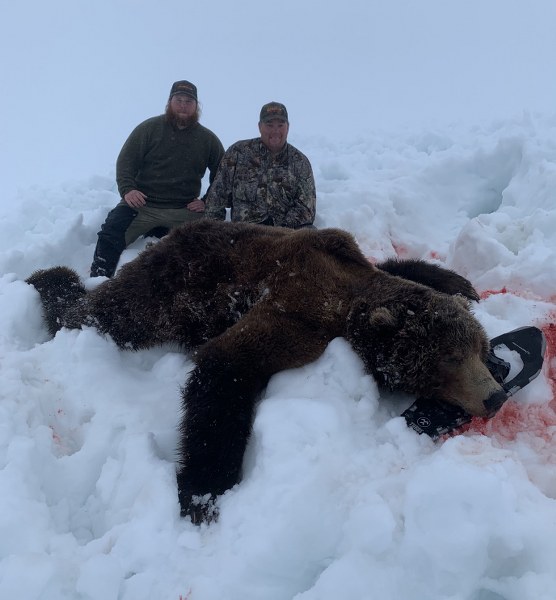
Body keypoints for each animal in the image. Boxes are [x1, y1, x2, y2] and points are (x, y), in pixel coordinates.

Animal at [26, 218, 504, 524]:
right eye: (447, 361)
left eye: (476, 349)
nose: (495, 395)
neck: (348, 297)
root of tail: (167, 238)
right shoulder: (298, 315)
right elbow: (226, 365)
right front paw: (203, 490)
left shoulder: (346, 256)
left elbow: (400, 267)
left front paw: (459, 283)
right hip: (161, 292)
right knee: (102, 312)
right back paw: (49, 279)